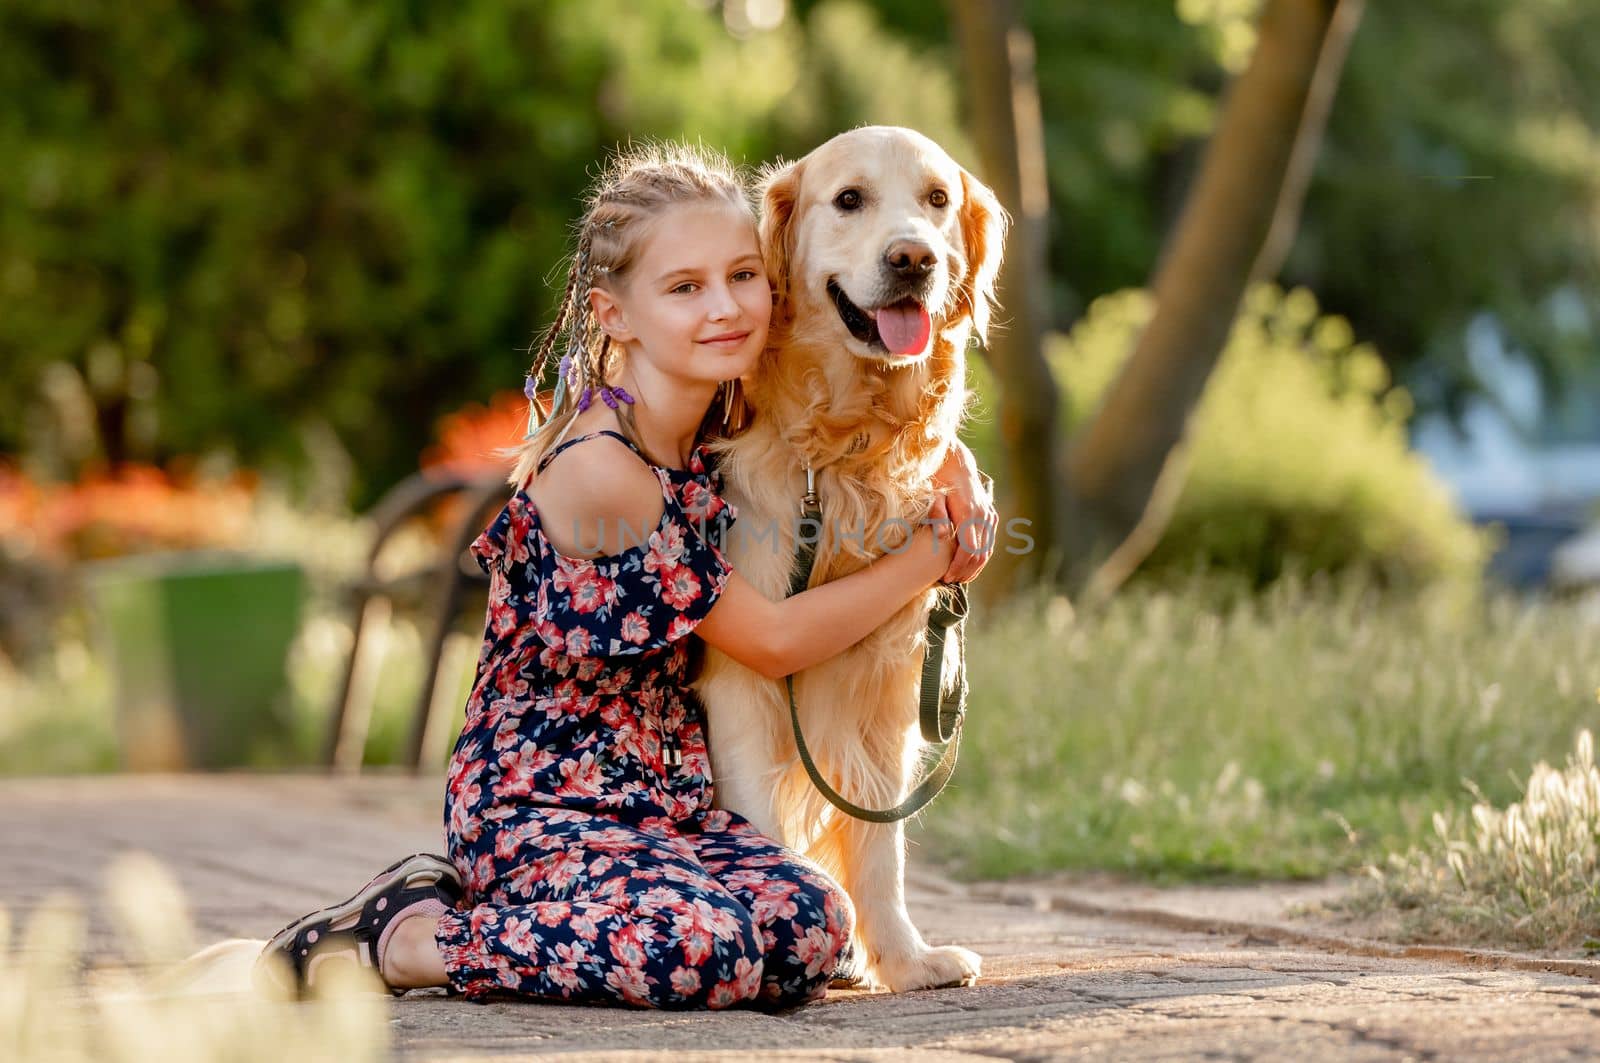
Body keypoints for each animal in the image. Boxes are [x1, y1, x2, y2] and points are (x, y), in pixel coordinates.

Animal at [697, 126, 998, 998]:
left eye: (938, 199)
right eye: (849, 199)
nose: (913, 258)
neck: (841, 450)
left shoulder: (883, 682)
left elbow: (880, 843)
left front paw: (905, 958)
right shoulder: (743, 678)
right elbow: (767, 826)